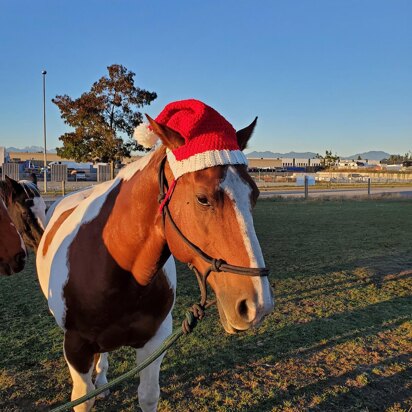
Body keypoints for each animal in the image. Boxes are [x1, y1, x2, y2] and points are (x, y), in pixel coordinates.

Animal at [36, 100, 274, 412]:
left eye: (254, 195)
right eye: (202, 198)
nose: (258, 305)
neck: (116, 270)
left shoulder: (155, 341)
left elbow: (148, 395)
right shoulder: (76, 348)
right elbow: (83, 399)